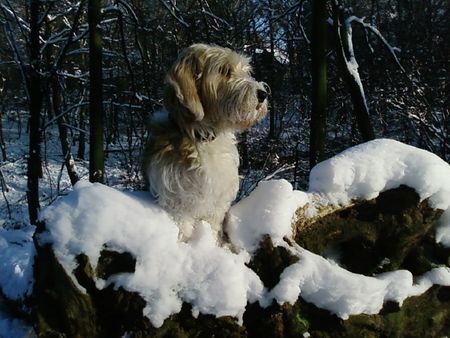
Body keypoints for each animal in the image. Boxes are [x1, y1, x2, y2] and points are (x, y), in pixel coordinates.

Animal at [144, 44, 268, 240]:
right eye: (224, 70)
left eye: (246, 70)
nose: (263, 94)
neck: (203, 137)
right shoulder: (176, 201)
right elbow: (183, 228)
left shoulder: (218, 201)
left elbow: (213, 223)